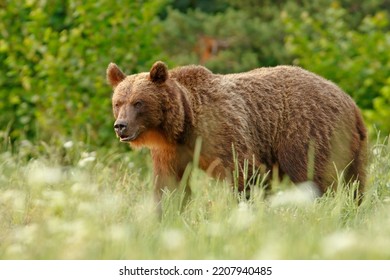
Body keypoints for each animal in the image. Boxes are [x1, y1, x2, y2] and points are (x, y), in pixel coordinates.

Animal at [106, 61, 366, 209]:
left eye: (138, 102)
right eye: (118, 103)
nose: (120, 126)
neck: (183, 124)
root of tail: (350, 102)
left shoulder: (221, 130)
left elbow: (245, 172)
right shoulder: (171, 151)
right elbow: (169, 185)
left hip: (307, 131)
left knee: (313, 176)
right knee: (354, 181)